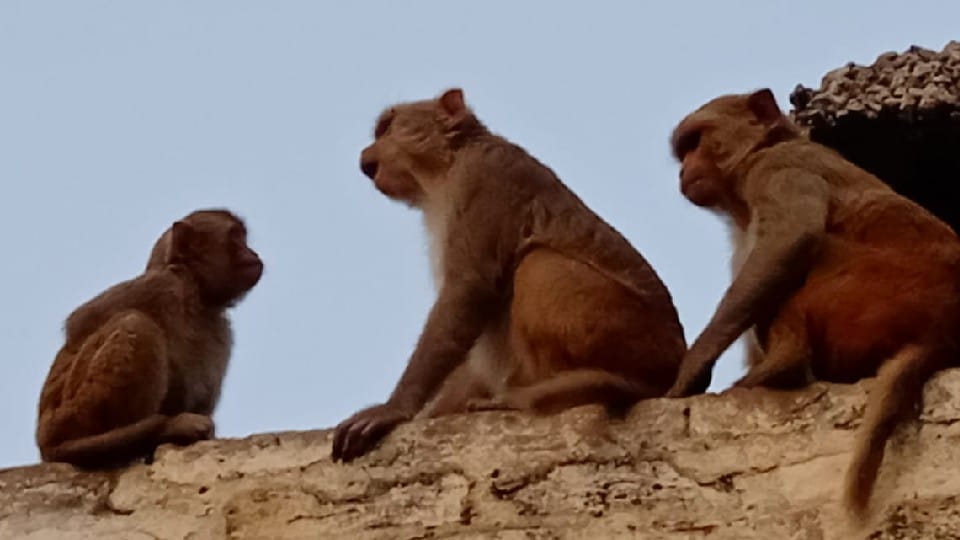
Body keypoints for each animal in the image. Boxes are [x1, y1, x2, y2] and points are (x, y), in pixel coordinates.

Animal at [36, 209, 263, 468]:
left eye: (243, 238)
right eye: (236, 238)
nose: (253, 253)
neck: (195, 293)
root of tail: (46, 442)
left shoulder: (221, 330)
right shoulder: (161, 285)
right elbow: (80, 322)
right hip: (75, 413)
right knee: (138, 323)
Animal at [331, 88, 687, 463]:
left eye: (386, 128)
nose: (365, 156)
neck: (446, 167)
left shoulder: (485, 176)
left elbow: (469, 288)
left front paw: (394, 409)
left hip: (629, 332)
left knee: (537, 263)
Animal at [664, 88, 960, 517]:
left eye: (696, 142)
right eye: (684, 150)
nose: (683, 170)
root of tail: (940, 335)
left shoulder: (778, 167)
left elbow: (791, 238)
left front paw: (691, 368)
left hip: (870, 295)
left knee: (807, 251)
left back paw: (782, 367)